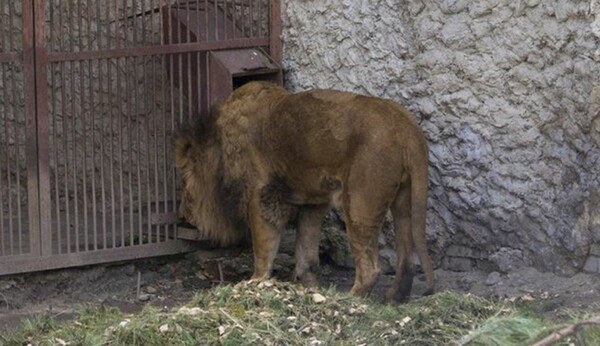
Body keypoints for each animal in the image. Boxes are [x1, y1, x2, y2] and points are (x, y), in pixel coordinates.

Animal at [176, 82, 434, 302]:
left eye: (184, 184)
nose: (183, 215)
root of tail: (406, 126)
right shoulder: (312, 202)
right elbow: (306, 248)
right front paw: (307, 284)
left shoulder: (261, 195)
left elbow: (264, 246)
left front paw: (255, 282)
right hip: (403, 201)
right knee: (406, 260)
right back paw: (394, 297)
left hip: (360, 204)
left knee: (370, 268)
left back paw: (347, 299)